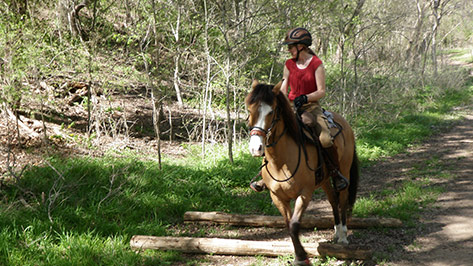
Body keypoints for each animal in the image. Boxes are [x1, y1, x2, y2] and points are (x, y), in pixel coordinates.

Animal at [245, 80, 360, 264]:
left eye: (271, 111)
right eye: (250, 110)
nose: (256, 148)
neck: (281, 161)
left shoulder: (304, 193)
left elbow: (294, 225)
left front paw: (301, 257)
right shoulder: (277, 197)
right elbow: (288, 224)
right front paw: (299, 255)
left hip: (344, 170)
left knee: (342, 200)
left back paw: (342, 236)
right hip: (325, 180)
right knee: (333, 200)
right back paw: (336, 233)